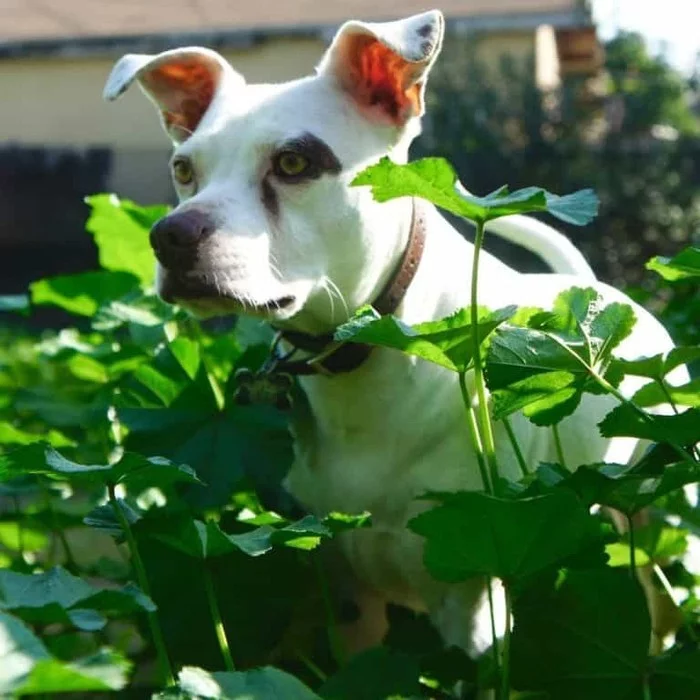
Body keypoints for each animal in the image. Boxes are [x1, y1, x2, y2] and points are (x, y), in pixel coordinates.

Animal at [105, 10, 684, 656]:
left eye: (294, 163)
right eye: (183, 169)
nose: (171, 235)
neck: (361, 359)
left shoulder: (474, 597)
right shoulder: (343, 590)